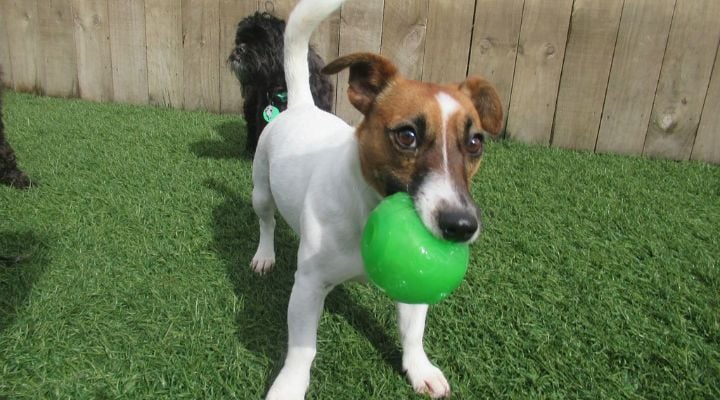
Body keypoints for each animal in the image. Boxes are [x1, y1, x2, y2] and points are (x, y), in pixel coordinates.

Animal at [250, 1, 504, 398]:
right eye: (407, 135)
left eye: (476, 142)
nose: (462, 226)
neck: (367, 208)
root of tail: (302, 105)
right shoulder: (308, 285)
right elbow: (302, 349)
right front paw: (289, 386)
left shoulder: (414, 284)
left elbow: (412, 332)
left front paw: (419, 368)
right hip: (260, 189)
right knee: (266, 220)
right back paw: (264, 254)